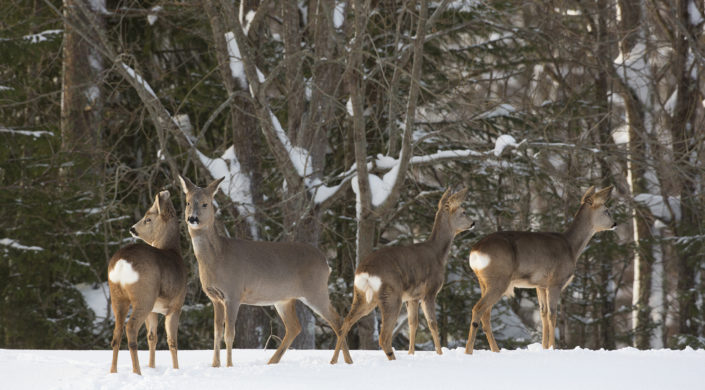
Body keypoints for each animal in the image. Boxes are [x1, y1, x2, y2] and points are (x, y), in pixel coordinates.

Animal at [106, 192, 186, 374]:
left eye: (148, 219)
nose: (132, 229)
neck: (174, 252)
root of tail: (122, 262)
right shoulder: (176, 306)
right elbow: (172, 341)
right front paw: (176, 370)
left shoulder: (154, 310)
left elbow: (152, 337)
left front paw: (152, 367)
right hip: (144, 296)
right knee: (130, 328)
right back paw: (137, 372)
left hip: (117, 296)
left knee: (116, 333)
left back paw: (113, 371)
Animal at [176, 175, 352, 368]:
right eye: (187, 202)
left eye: (205, 203)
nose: (192, 218)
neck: (218, 257)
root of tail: (326, 263)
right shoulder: (214, 298)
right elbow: (216, 334)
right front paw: (215, 365)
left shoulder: (233, 293)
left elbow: (229, 334)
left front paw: (229, 365)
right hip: (285, 299)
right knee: (295, 327)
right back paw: (273, 361)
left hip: (315, 290)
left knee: (338, 320)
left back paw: (341, 361)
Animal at [328, 189, 472, 362]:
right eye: (463, 212)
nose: (473, 223)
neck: (438, 254)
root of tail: (365, 271)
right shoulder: (429, 291)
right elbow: (432, 323)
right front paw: (439, 354)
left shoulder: (412, 297)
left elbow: (412, 324)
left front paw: (411, 353)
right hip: (391, 295)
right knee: (383, 337)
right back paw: (391, 359)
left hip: (362, 296)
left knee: (344, 324)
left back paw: (340, 361)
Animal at [468, 186, 616, 354]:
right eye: (606, 210)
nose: (615, 223)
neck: (571, 247)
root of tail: (475, 251)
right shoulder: (555, 282)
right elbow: (552, 314)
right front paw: (553, 347)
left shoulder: (540, 285)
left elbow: (543, 314)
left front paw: (545, 347)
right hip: (499, 280)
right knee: (478, 309)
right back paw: (469, 351)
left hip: (483, 281)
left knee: (485, 314)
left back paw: (495, 350)